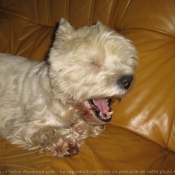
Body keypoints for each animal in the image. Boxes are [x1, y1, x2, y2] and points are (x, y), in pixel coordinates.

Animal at [0, 18, 138, 157]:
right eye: (93, 63)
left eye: (125, 60)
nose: (127, 80)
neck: (62, 101)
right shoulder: (21, 125)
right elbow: (47, 131)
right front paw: (65, 142)